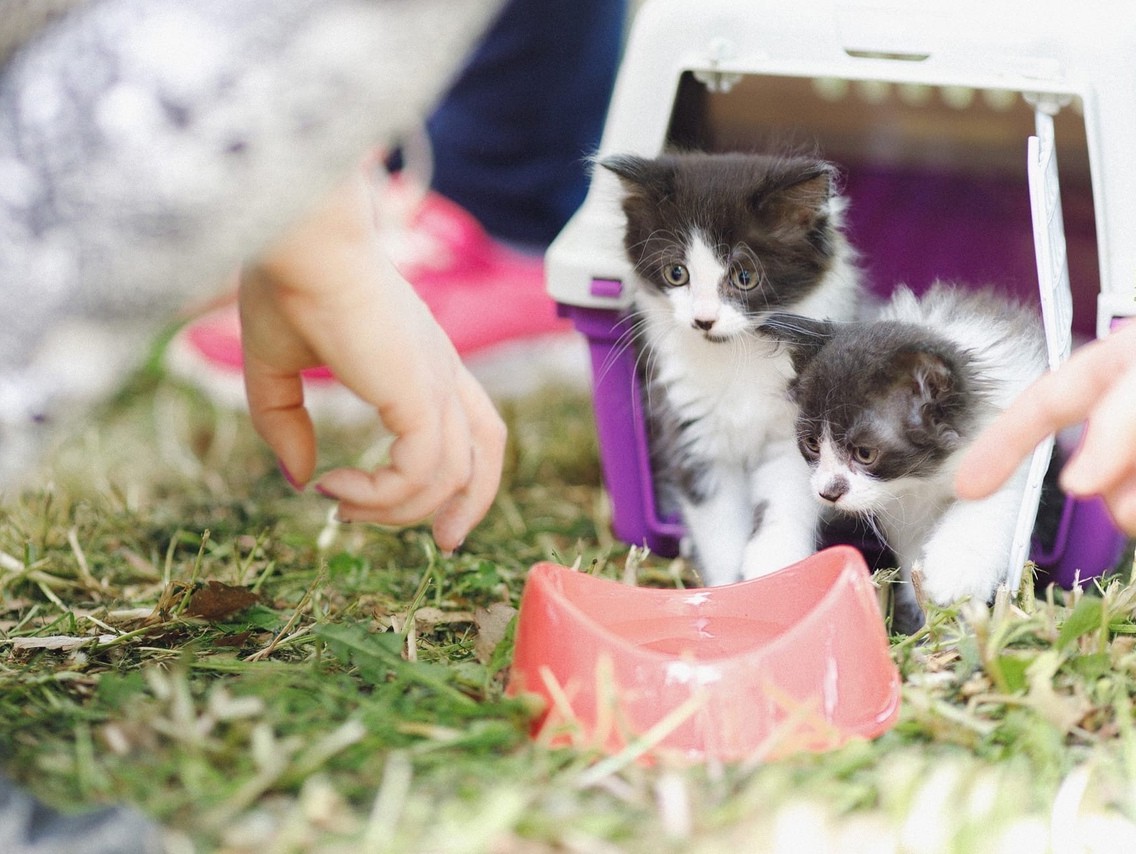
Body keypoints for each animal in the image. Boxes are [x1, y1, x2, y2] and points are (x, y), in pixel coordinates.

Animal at [604, 149, 858, 585]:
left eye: (744, 276)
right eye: (677, 273)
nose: (703, 320)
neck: (738, 356)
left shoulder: (796, 431)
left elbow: (784, 503)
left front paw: (774, 571)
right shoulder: (692, 435)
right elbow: (719, 526)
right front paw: (727, 587)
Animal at [763, 283, 1045, 631]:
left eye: (865, 453)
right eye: (813, 444)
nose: (827, 492)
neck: (926, 477)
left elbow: (991, 500)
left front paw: (956, 572)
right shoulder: (906, 513)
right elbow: (913, 553)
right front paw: (930, 612)